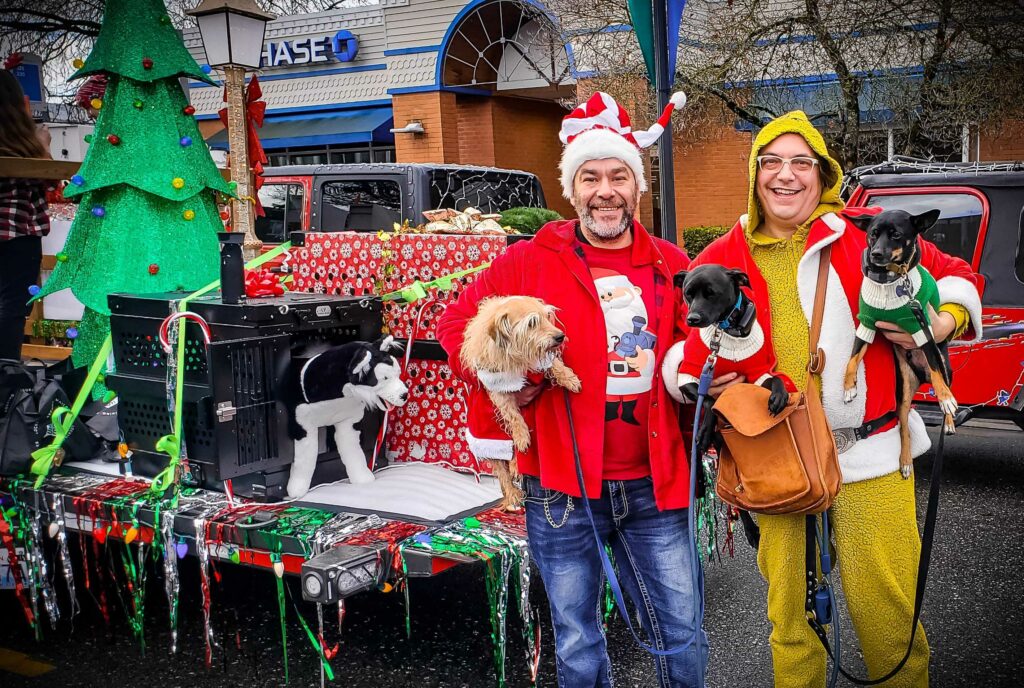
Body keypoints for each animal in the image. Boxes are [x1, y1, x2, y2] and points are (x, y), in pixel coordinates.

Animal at [284, 335, 407, 497]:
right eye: (385, 378)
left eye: (398, 374)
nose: (405, 395)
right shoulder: (303, 425)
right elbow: (306, 458)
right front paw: (297, 489)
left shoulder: (349, 423)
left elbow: (353, 451)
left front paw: (362, 477)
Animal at [460, 294, 581, 509]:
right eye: (532, 322)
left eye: (547, 316)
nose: (560, 336)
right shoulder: (499, 388)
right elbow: (513, 417)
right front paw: (522, 436)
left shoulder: (540, 362)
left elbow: (555, 364)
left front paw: (569, 379)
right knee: (503, 467)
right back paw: (513, 492)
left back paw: (516, 466)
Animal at [843, 207, 954, 479]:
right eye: (873, 234)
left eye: (896, 235)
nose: (876, 253)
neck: (889, 279)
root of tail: (921, 375)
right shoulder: (867, 324)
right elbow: (853, 357)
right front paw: (849, 387)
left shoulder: (922, 329)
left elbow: (938, 376)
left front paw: (946, 400)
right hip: (903, 392)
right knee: (904, 428)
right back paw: (904, 461)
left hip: (946, 364)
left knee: (941, 377)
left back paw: (948, 416)